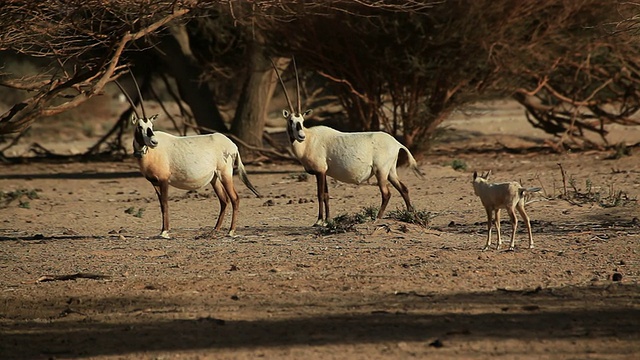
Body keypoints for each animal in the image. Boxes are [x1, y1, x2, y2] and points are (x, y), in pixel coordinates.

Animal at [117, 76, 260, 239]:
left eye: (151, 126)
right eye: (139, 127)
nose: (154, 142)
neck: (150, 154)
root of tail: (233, 145)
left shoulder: (164, 180)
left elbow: (165, 204)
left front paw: (165, 232)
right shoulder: (154, 182)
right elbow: (161, 205)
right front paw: (162, 230)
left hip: (225, 174)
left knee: (234, 198)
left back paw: (231, 231)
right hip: (214, 178)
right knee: (224, 200)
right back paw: (214, 230)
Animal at [272, 58, 422, 225]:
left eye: (302, 121)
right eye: (291, 121)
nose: (301, 136)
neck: (309, 140)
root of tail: (397, 143)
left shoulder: (320, 171)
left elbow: (320, 194)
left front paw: (319, 221)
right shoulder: (324, 171)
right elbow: (326, 195)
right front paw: (328, 220)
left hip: (381, 171)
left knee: (386, 193)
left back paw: (378, 218)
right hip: (390, 171)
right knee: (403, 189)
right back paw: (412, 216)